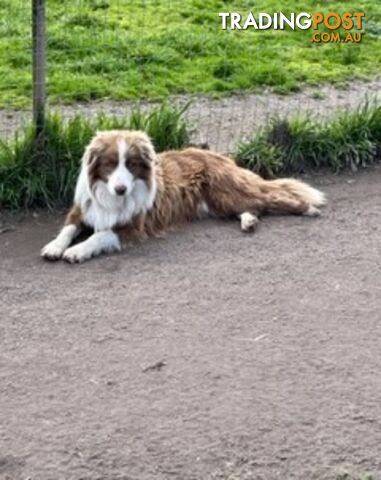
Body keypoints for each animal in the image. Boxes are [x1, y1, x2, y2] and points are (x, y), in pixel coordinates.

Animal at [41, 130, 326, 262]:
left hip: (227, 193)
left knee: (273, 199)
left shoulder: (133, 227)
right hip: (220, 203)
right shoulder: (82, 209)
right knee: (253, 208)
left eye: (130, 164)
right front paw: (54, 246)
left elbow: (99, 236)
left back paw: (307, 208)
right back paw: (249, 221)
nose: (121, 189)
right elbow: (67, 229)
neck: (112, 197)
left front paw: (77, 251)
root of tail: (218, 155)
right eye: (110, 164)